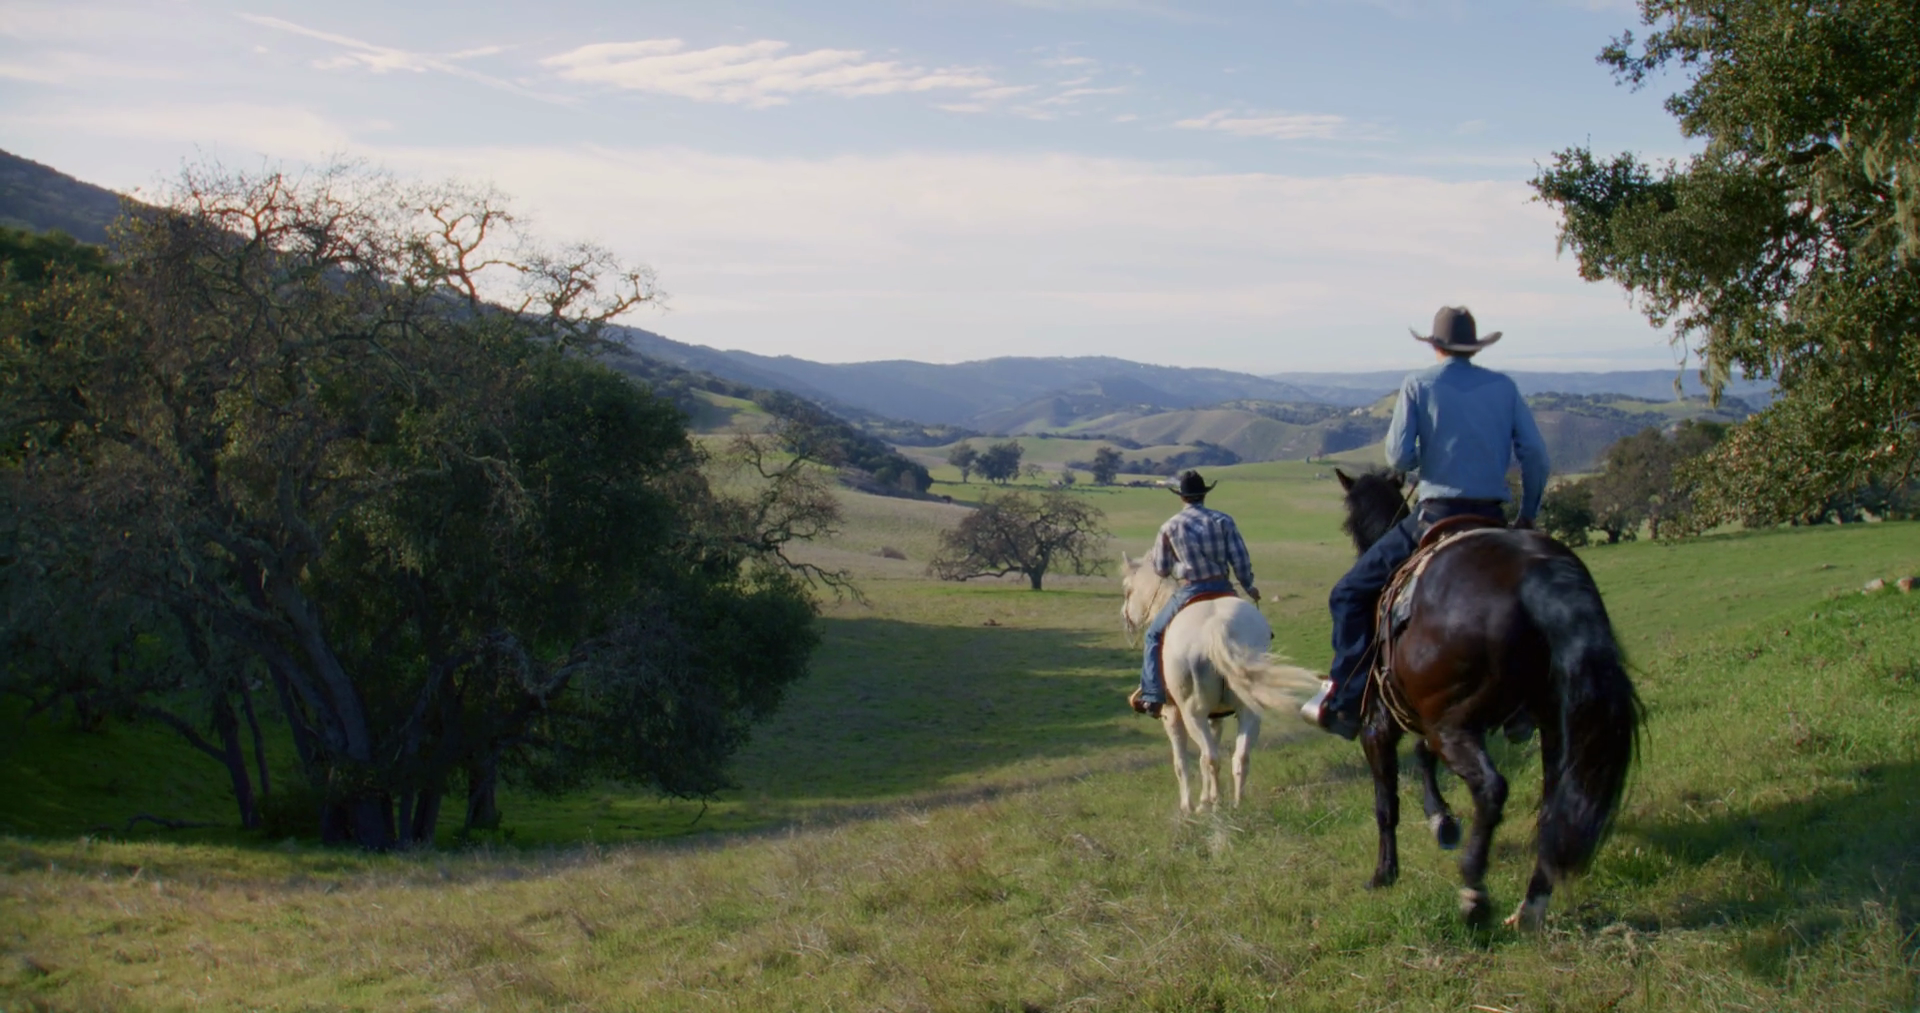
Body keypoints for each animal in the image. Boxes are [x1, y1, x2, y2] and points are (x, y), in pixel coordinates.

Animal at [1119, 553, 1322, 812]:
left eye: (1128, 590)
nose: (1126, 618)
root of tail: (1218, 628)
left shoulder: (1171, 715)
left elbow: (1181, 762)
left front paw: (1189, 806)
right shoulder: (1215, 717)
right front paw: (1204, 799)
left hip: (1192, 714)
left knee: (1211, 757)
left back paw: (1214, 804)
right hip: (1248, 710)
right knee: (1239, 756)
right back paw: (1236, 803)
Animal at [1335, 468, 1640, 930]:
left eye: (1349, 521)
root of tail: (1536, 576)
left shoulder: (1379, 723)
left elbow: (1386, 802)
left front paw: (1384, 873)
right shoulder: (1421, 713)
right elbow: (1422, 757)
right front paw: (1441, 820)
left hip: (1455, 725)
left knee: (1492, 789)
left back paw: (1474, 894)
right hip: (1550, 720)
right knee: (1554, 799)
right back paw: (1531, 905)